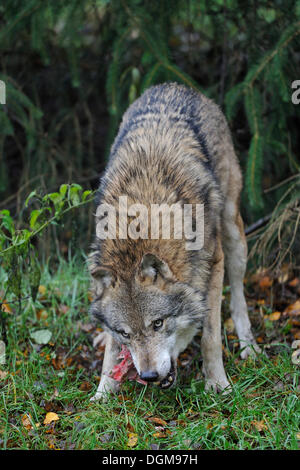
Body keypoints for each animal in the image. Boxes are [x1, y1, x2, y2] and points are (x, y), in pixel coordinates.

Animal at [89, 81, 260, 400]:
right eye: (126, 333)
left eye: (158, 323)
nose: (149, 376)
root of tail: (173, 85)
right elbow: (111, 353)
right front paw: (102, 394)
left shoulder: (213, 264)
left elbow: (210, 336)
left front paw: (217, 383)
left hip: (233, 231)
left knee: (238, 296)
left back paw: (249, 345)